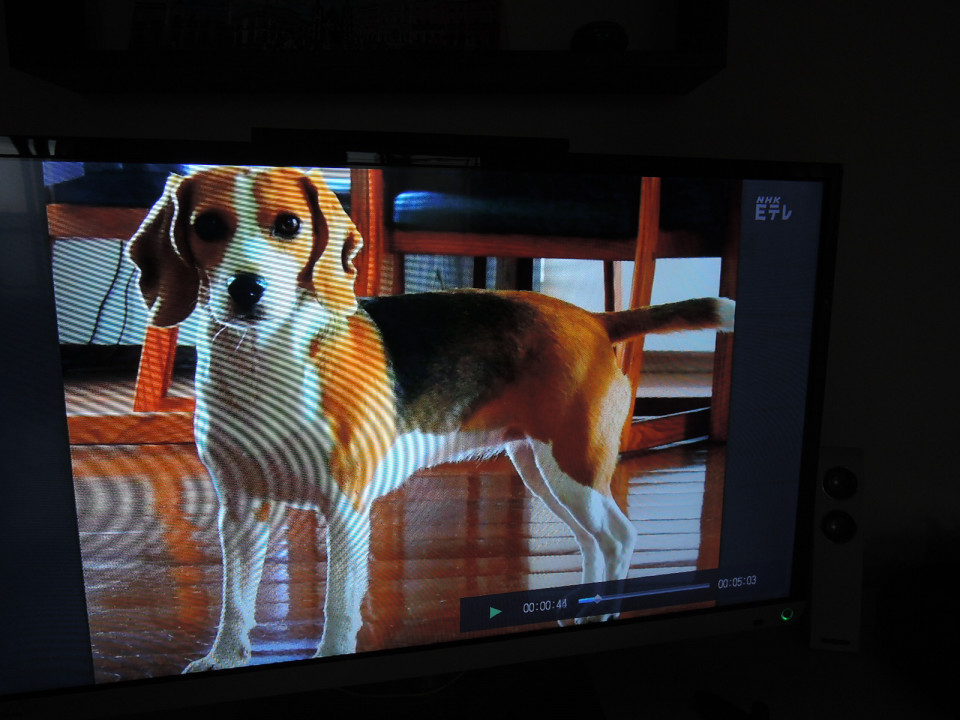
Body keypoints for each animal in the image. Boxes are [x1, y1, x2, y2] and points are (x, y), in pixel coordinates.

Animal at [129, 166, 736, 672]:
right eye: (208, 226)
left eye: (289, 224)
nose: (246, 289)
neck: (264, 358)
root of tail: (594, 318)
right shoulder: (241, 512)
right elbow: (235, 600)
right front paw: (224, 659)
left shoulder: (346, 509)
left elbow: (339, 606)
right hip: (540, 467)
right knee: (595, 541)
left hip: (572, 465)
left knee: (619, 536)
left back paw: (598, 612)